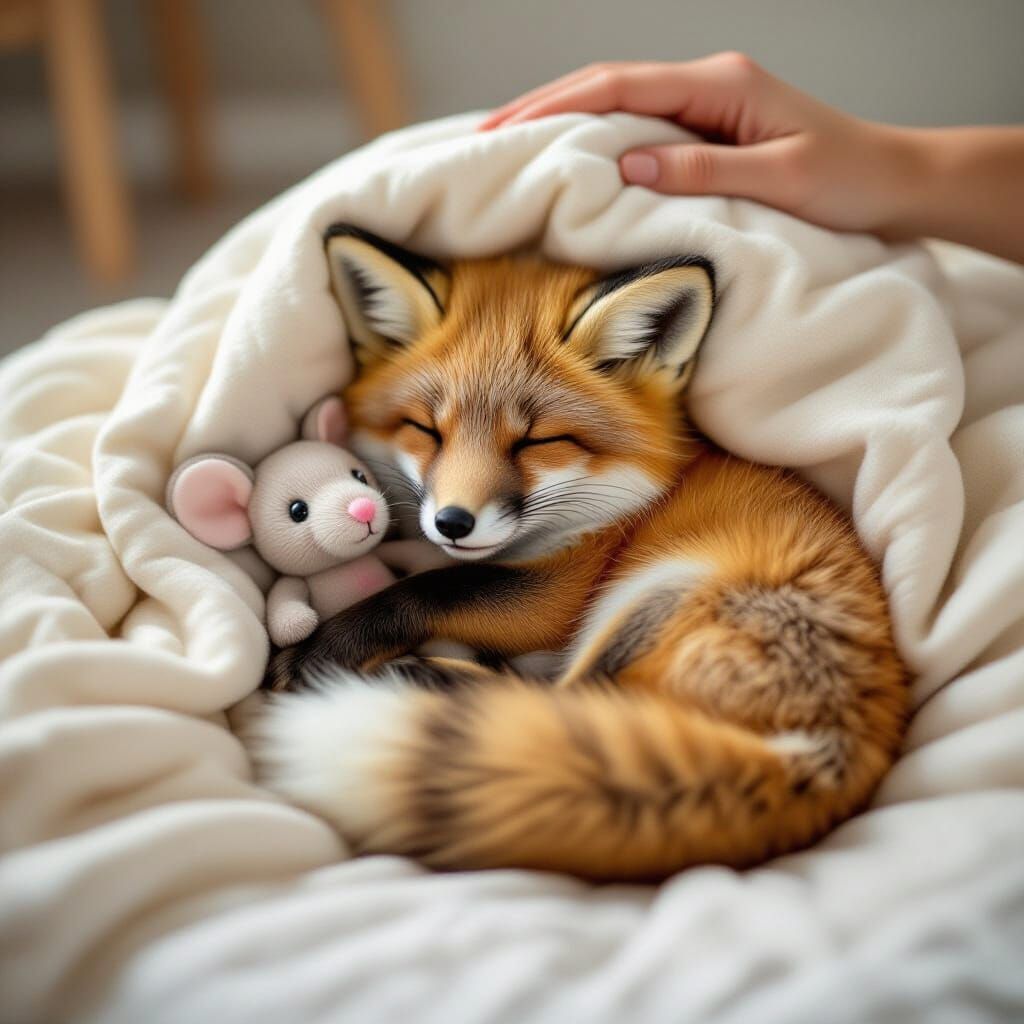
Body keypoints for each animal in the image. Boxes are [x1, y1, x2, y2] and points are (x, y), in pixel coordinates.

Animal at [248, 224, 911, 882]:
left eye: (536, 441)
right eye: (426, 430)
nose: (452, 523)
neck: (627, 505)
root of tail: (836, 750)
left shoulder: (564, 590)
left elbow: (434, 588)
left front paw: (326, 647)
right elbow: (432, 570)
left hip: (650, 598)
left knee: (557, 701)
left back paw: (414, 679)